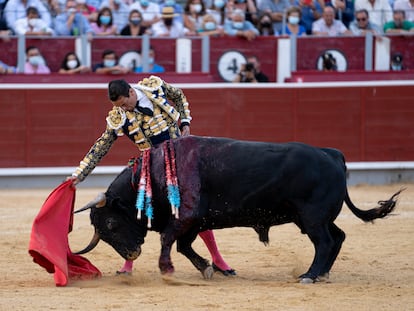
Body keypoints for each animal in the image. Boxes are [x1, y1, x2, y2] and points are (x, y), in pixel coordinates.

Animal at [76, 136, 402, 282]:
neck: (152, 176)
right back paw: (321, 274)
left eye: (111, 225)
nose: (131, 254)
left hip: (312, 219)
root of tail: (332, 155)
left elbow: (169, 240)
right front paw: (207, 268)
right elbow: (183, 245)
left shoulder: (186, 216)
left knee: (324, 242)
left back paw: (310, 275)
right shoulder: (194, 222)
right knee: (338, 237)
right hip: (315, 218)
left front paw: (167, 269)